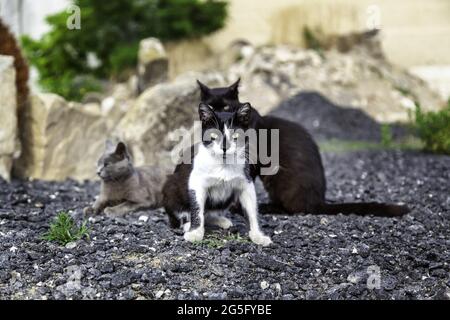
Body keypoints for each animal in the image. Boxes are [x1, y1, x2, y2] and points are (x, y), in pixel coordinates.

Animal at [163, 101, 272, 246]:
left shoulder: (246, 181)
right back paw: (187, 224)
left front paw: (258, 235)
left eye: (235, 136)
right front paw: (195, 233)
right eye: (214, 136)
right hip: (170, 186)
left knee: (208, 212)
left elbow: (251, 210)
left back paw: (220, 220)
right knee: (179, 217)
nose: (224, 147)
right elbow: (197, 208)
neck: (223, 165)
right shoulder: (196, 181)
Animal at [197, 79, 408, 216]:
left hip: (277, 178)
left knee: (293, 209)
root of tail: (318, 201)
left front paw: (236, 207)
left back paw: (266, 208)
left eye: (225, 107)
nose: (216, 116)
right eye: (210, 106)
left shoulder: (252, 161)